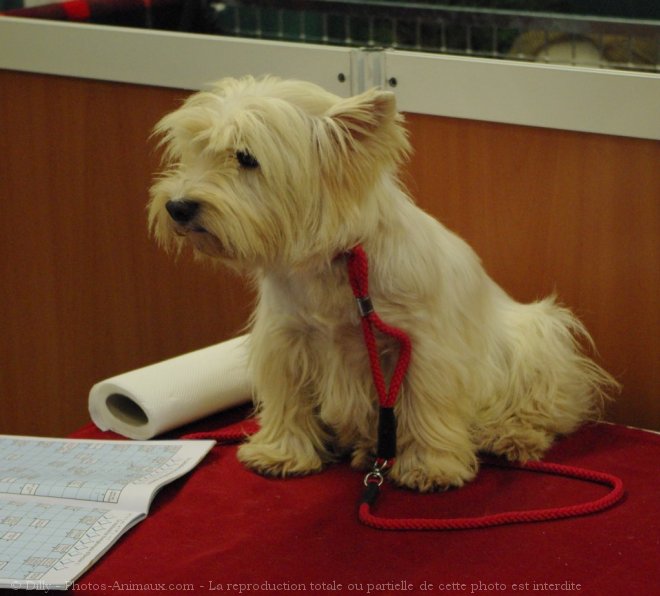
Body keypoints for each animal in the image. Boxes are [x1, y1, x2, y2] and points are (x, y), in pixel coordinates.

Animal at [147, 75, 616, 488]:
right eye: (195, 149)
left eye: (246, 158)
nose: (177, 207)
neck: (334, 264)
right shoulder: (286, 340)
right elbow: (289, 401)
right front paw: (281, 453)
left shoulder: (421, 347)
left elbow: (425, 405)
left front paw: (430, 466)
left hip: (536, 339)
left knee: (544, 406)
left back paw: (509, 436)